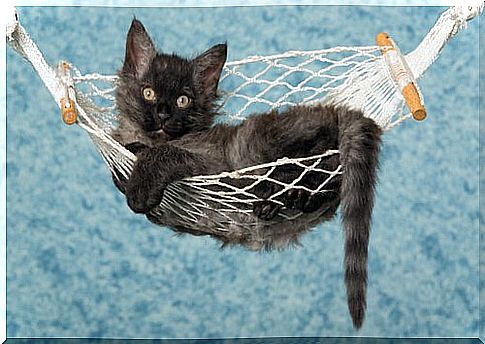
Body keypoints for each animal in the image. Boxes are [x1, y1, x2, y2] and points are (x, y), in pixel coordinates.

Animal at [113, 18, 382, 328]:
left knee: (323, 165)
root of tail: (333, 110)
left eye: (183, 100)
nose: (163, 113)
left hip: (257, 138)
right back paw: (290, 200)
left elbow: (163, 154)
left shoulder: (211, 160)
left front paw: (139, 187)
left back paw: (284, 192)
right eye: (149, 92)